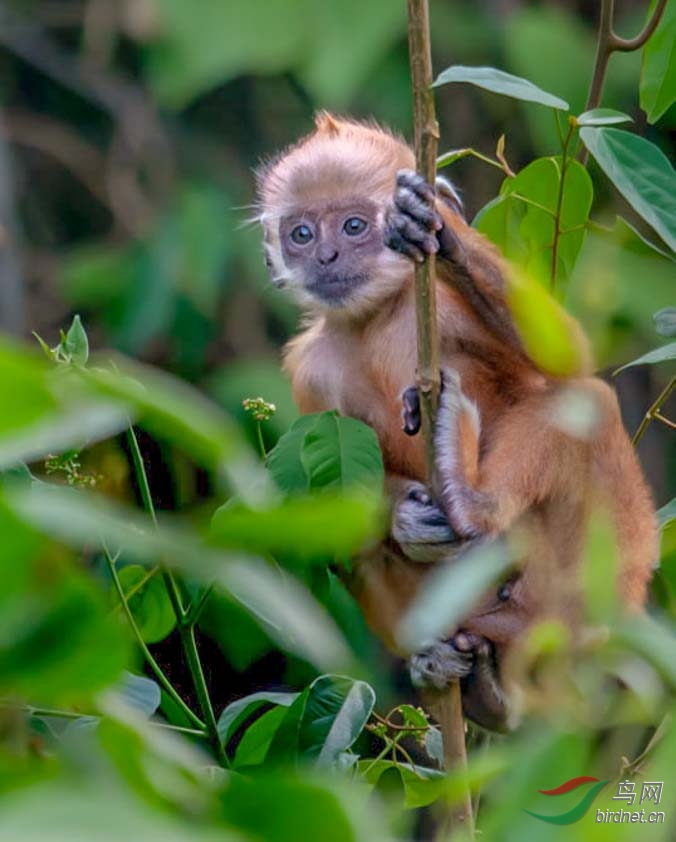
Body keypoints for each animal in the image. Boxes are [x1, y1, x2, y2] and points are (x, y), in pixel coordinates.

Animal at [256, 111, 656, 728]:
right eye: (302, 234)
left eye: (353, 226)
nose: (326, 258)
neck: (376, 319)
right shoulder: (310, 371)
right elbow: (332, 504)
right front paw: (407, 521)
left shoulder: (444, 306)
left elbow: (567, 356)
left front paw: (439, 229)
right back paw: (471, 688)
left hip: (585, 592)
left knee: (584, 401)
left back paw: (471, 500)